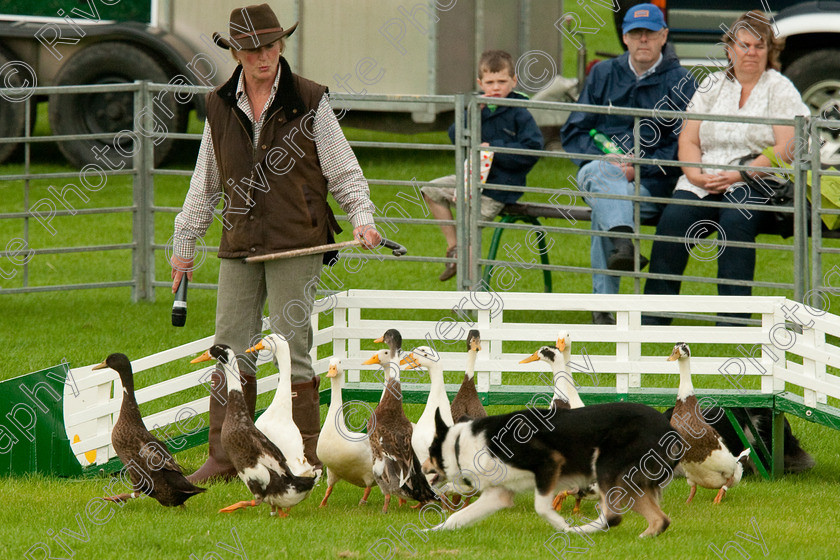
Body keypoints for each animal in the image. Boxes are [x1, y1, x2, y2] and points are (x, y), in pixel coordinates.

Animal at [426, 400, 684, 536]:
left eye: (428, 453)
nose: (423, 468)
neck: (462, 444)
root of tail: (670, 429)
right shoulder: (499, 494)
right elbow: (457, 518)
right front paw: (429, 532)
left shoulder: (548, 463)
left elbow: (541, 507)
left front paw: (563, 526)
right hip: (630, 484)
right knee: (660, 520)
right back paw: (645, 536)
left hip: (605, 467)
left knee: (612, 517)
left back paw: (578, 531)